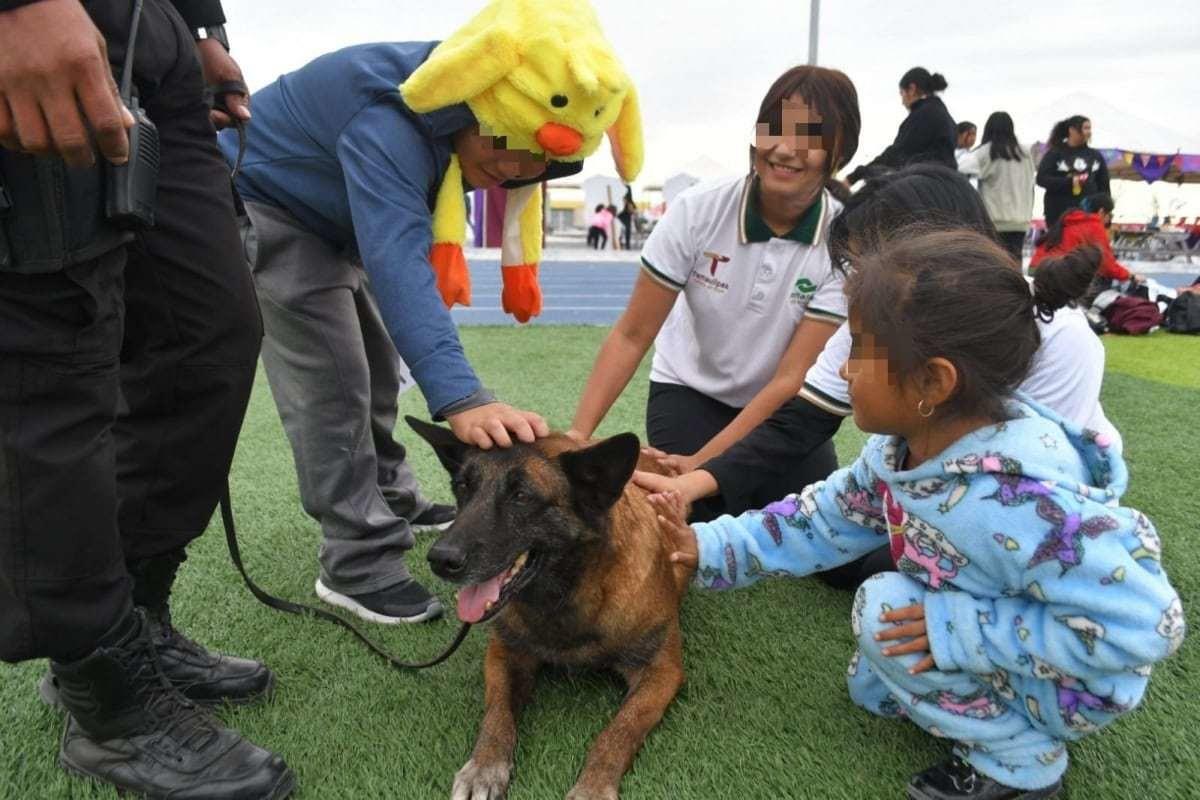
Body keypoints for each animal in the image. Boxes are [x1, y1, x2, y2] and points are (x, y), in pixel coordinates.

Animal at [408, 419, 691, 800]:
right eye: (462, 487)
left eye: (522, 496)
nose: (441, 559)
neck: (567, 596)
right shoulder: (504, 654)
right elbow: (497, 712)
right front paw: (485, 765)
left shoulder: (660, 671)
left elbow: (619, 731)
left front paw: (593, 787)